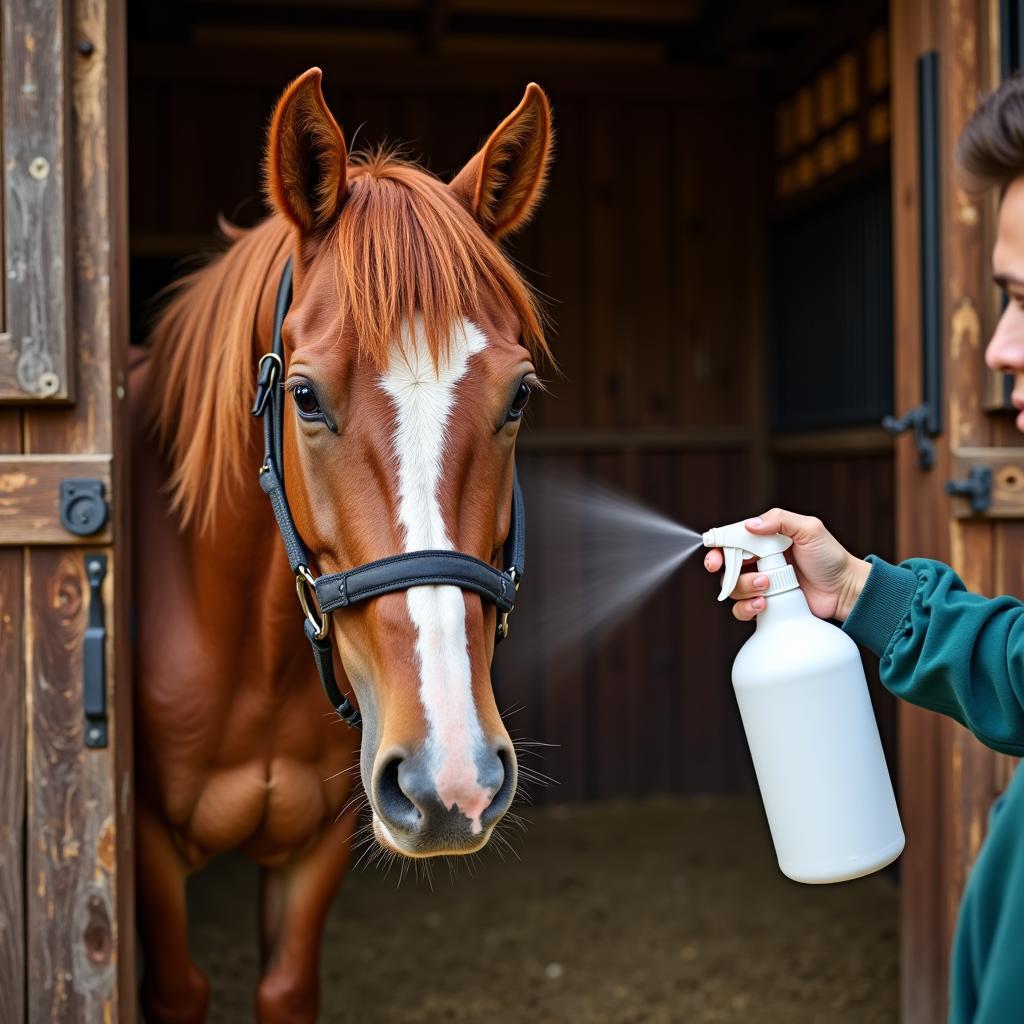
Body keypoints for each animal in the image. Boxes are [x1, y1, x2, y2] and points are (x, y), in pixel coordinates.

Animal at [133, 68, 557, 1019]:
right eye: (304, 396)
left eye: (517, 396)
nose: (452, 780)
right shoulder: (148, 851)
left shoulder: (317, 851)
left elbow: (288, 987)